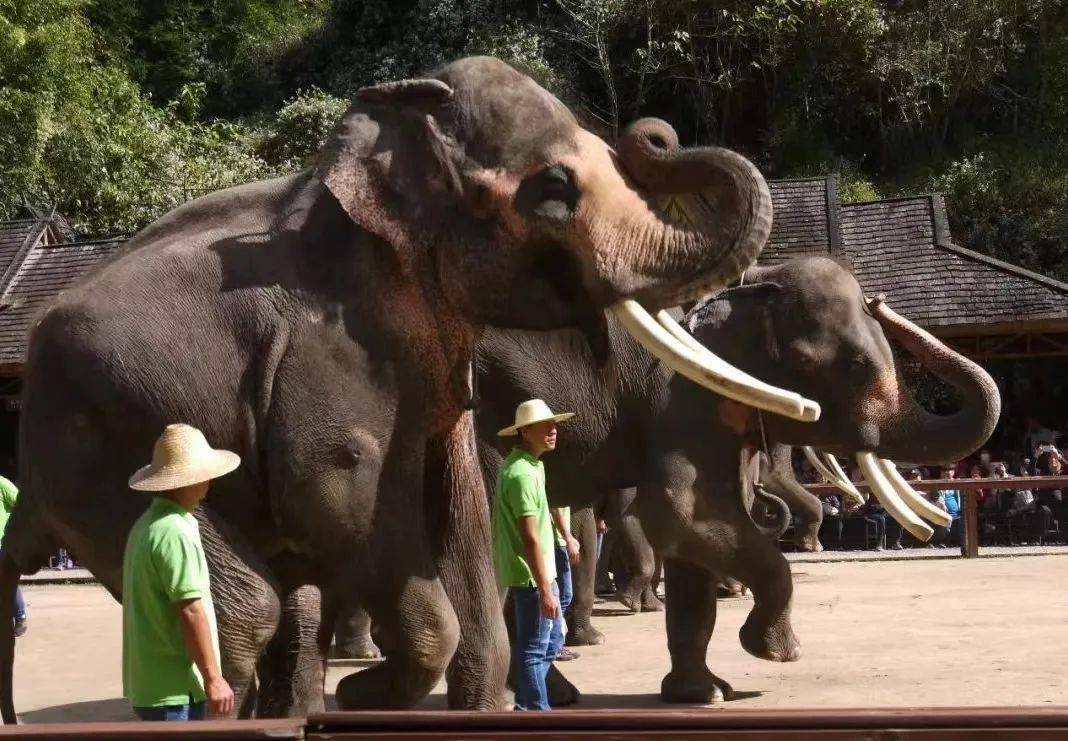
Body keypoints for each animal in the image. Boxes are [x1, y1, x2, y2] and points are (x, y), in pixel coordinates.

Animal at [0, 58, 786, 726]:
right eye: (556, 189)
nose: (655, 133)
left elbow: (457, 495)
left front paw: (403, 699)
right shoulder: (330, 345)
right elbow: (338, 487)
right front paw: (364, 693)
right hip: (91, 446)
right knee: (246, 607)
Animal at [472, 258, 995, 704]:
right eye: (851, 367)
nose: (882, 299)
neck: (752, 276)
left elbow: (692, 544)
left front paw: (704, 694)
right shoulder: (682, 393)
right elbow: (678, 512)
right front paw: (775, 652)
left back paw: (559, 692)